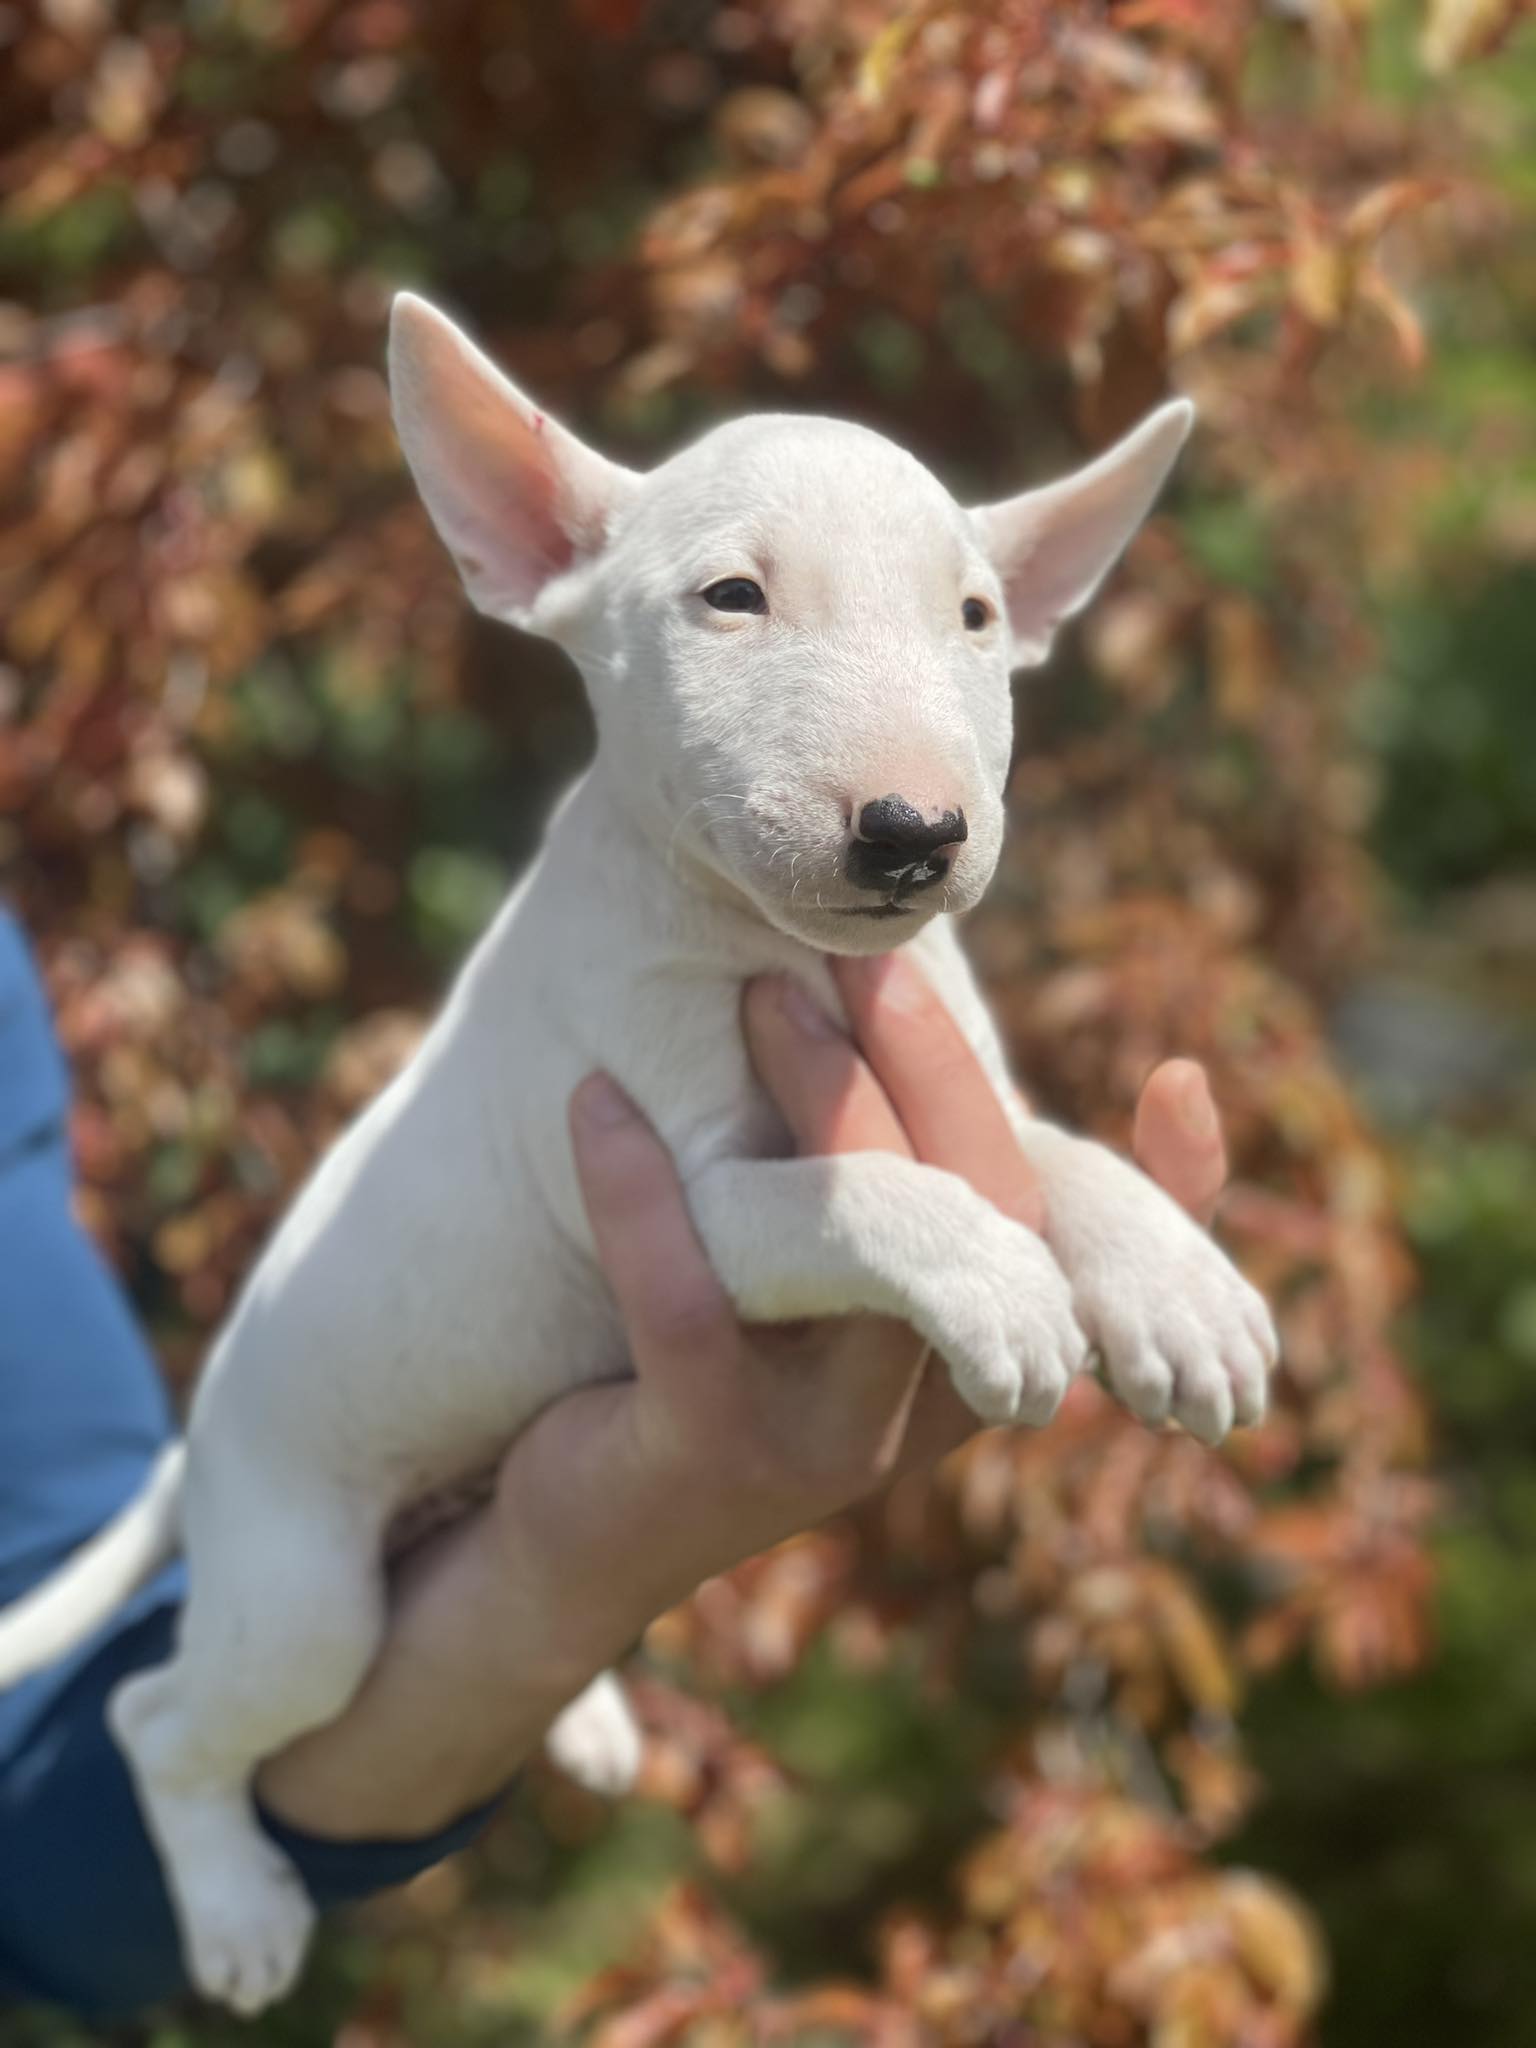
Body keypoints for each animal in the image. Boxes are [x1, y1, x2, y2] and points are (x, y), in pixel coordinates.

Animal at [0, 296, 1277, 2007]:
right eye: (731, 597)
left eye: (978, 616)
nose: (912, 835)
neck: (774, 951)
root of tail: (203, 1443)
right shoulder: (676, 1199)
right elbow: (865, 1187)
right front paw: (1002, 1287)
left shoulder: (963, 1082)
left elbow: (1052, 1158)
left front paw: (1178, 1288)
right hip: (299, 1590)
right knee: (160, 1718)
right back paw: (237, 1910)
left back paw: (589, 1718)